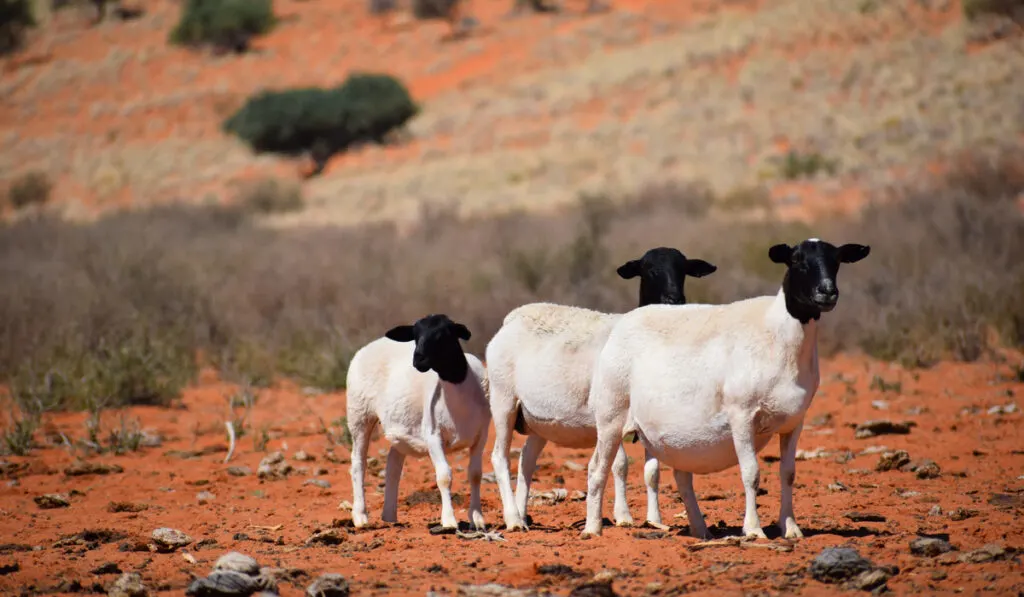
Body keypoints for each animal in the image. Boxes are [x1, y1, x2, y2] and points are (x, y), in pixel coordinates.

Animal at [348, 315, 491, 528]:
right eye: (415, 336)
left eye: (444, 334)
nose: (418, 359)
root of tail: (370, 345)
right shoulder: (432, 435)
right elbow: (444, 477)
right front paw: (449, 521)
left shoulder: (481, 435)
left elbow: (475, 475)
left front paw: (477, 518)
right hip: (358, 414)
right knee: (358, 463)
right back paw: (360, 516)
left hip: (399, 427)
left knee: (393, 465)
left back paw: (389, 516)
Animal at [489, 247, 720, 532]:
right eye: (650, 270)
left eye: (684, 270)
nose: (674, 299)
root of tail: (511, 318)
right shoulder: (610, 412)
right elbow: (620, 465)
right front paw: (623, 516)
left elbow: (652, 471)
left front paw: (654, 520)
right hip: (503, 400)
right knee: (500, 457)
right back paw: (513, 520)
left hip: (538, 419)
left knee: (526, 460)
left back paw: (522, 515)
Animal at [581, 239, 868, 540]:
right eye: (797, 260)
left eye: (836, 261)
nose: (827, 292)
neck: (778, 336)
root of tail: (623, 324)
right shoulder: (741, 414)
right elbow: (751, 473)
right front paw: (754, 529)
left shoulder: (794, 422)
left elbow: (788, 473)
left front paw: (790, 528)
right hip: (611, 417)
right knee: (598, 468)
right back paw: (593, 528)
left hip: (671, 434)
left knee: (682, 477)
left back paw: (700, 529)